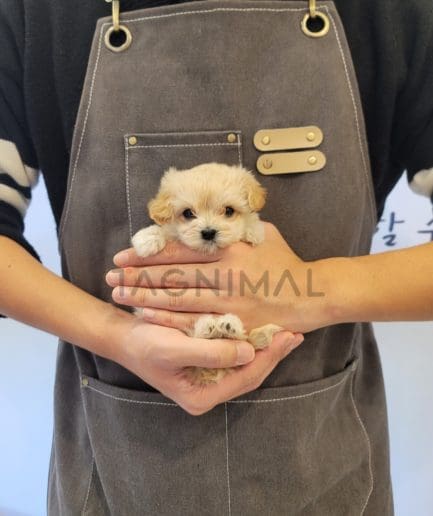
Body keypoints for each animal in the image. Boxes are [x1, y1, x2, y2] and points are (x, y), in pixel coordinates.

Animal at [132, 162, 283, 384]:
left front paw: (252, 232)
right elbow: (165, 232)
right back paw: (209, 327)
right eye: (188, 213)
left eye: (229, 210)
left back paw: (228, 326)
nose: (209, 232)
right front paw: (147, 239)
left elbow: (252, 225)